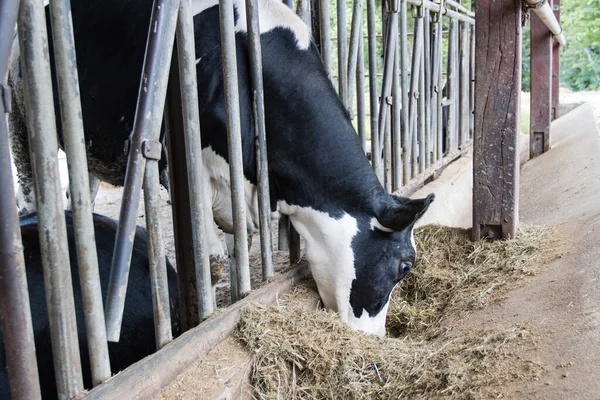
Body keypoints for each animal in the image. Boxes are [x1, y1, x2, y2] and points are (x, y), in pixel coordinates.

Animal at [8, 0, 432, 334]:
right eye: (404, 266)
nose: (376, 338)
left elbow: (240, 249)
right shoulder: (186, 171)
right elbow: (210, 263)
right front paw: (204, 317)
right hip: (20, 114)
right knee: (30, 192)